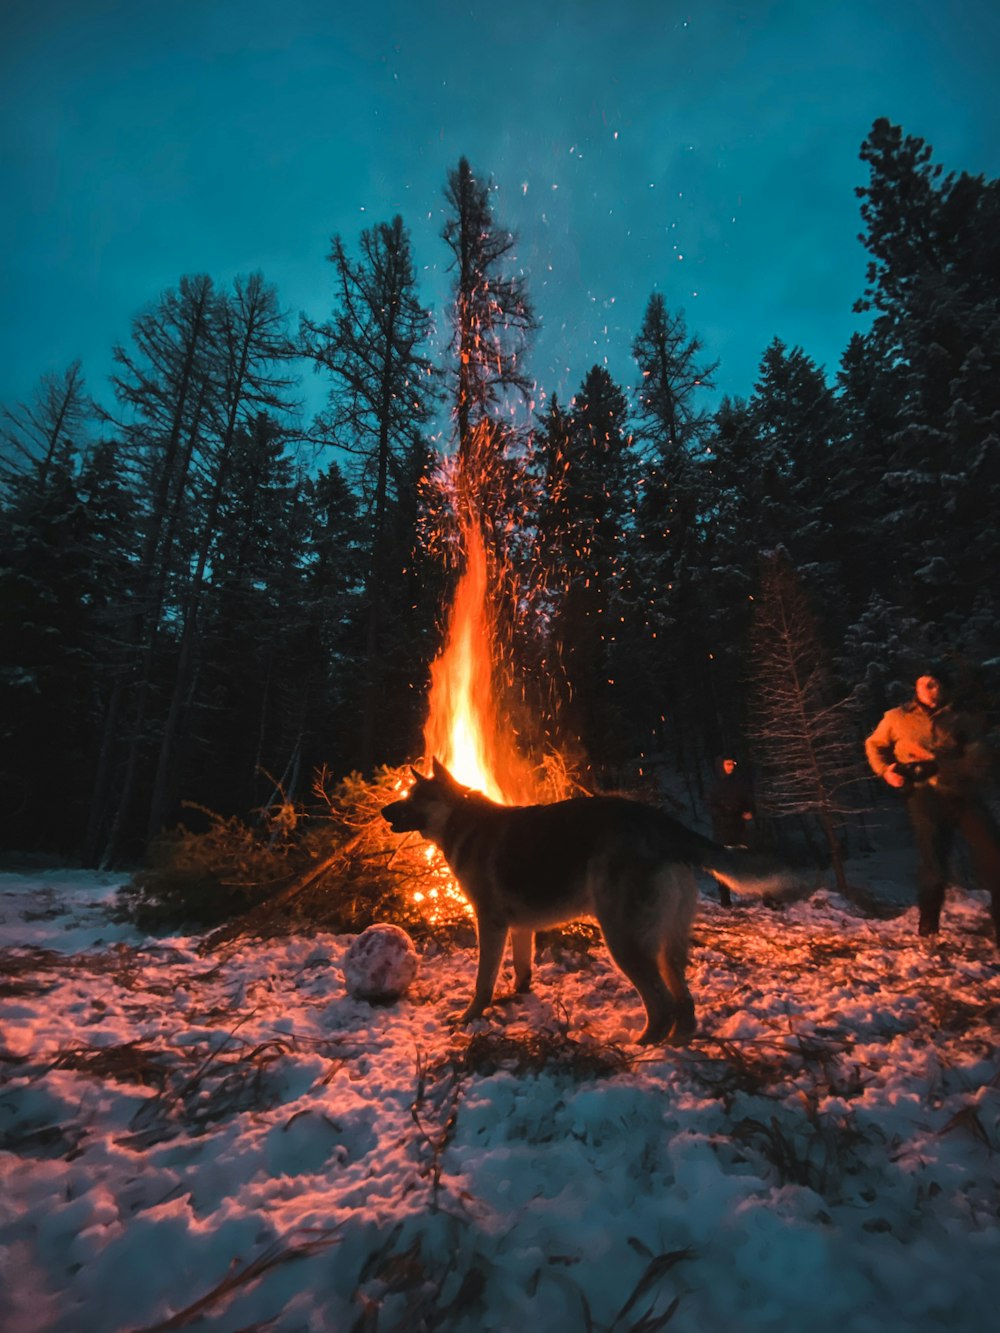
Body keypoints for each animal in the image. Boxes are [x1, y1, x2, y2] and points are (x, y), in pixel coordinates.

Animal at [378, 762, 810, 1039]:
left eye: (415, 796)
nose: (383, 810)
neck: (462, 820)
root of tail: (661, 823)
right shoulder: (520, 929)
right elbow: (521, 972)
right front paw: (517, 998)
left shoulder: (492, 924)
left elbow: (482, 983)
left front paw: (471, 1017)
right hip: (665, 947)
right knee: (684, 1008)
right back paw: (675, 1045)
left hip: (623, 941)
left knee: (662, 1007)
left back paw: (639, 1050)